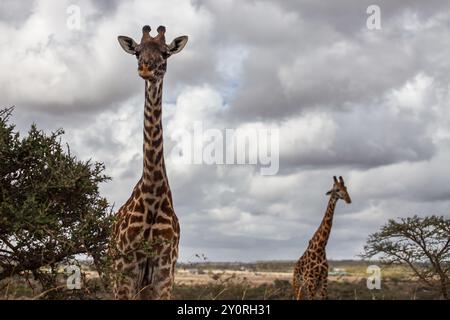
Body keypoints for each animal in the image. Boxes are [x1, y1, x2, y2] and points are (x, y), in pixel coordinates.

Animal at [111, 25, 189, 300]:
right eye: (137, 51)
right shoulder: (125, 272)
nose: (145, 69)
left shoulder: (165, 273)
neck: (153, 196)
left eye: (166, 53)